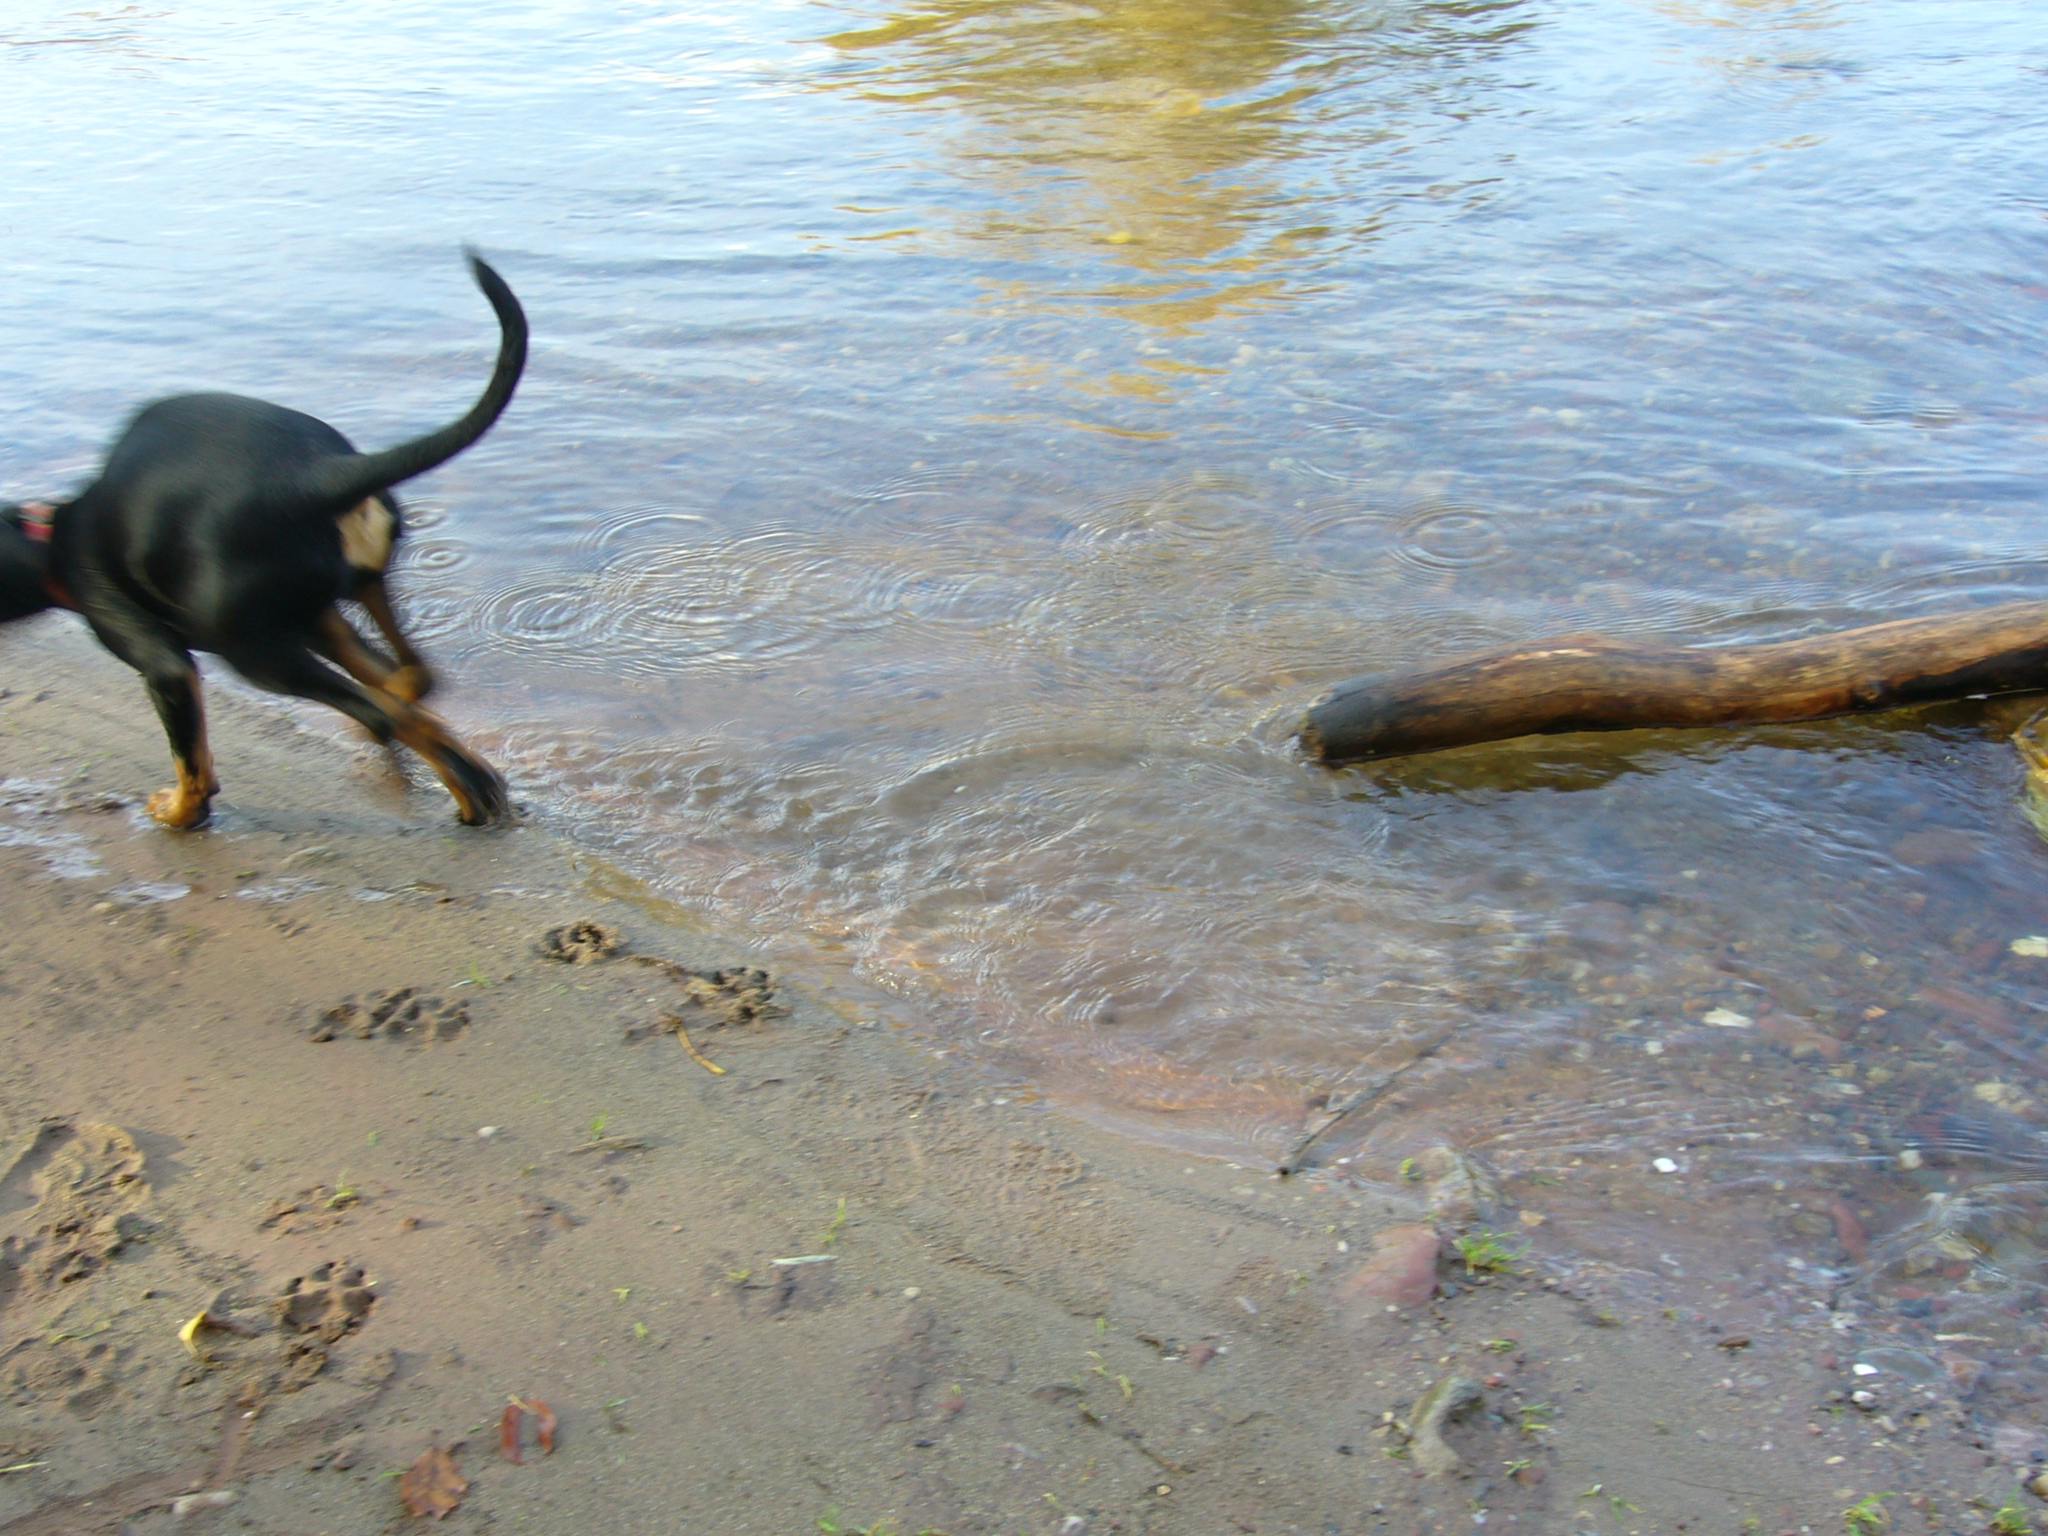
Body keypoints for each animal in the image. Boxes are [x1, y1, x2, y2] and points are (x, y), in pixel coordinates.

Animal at [0, 252, 524, 831]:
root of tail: (313, 475)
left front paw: (182, 812)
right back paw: (464, 768)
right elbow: (389, 679)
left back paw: (468, 792)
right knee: (411, 678)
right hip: (353, 586)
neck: (54, 537)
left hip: (256, 654)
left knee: (383, 709)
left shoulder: (165, 664)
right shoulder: (316, 622)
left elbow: (191, 758)